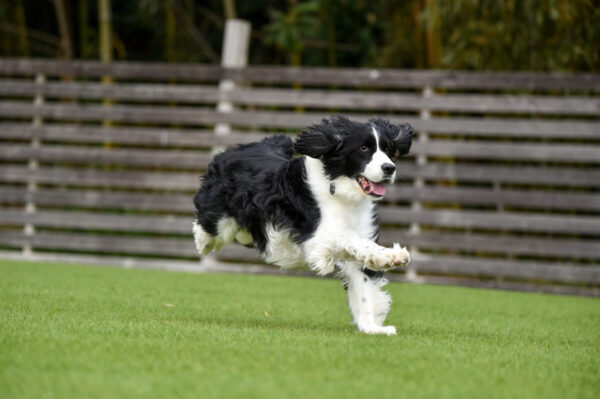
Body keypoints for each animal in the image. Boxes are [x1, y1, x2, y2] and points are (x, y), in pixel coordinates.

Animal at [195, 116, 414, 338]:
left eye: (387, 149)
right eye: (363, 148)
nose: (389, 168)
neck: (340, 190)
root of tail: (233, 150)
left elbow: (364, 289)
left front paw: (371, 328)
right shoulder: (317, 236)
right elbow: (348, 238)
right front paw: (392, 255)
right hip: (220, 216)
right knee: (208, 226)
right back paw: (203, 243)